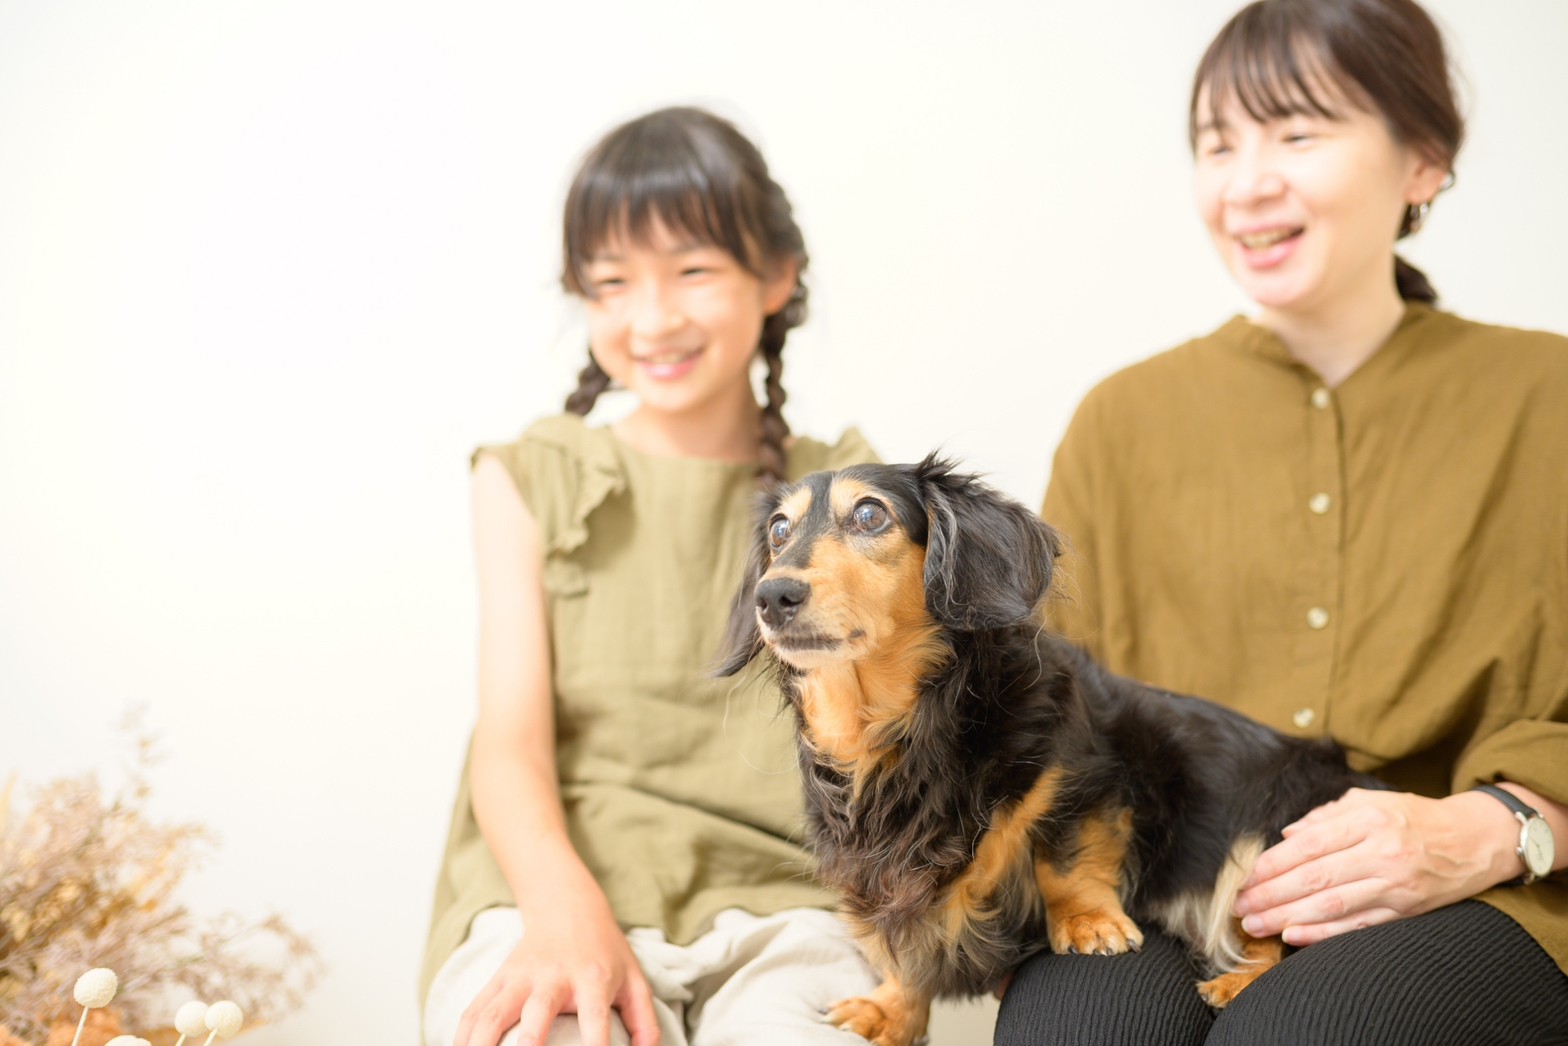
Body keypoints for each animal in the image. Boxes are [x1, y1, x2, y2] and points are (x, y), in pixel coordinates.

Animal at [715, 456, 1377, 1046]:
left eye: (870, 515)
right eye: (779, 530)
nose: (773, 597)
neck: (900, 731)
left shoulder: (1085, 782)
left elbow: (1064, 858)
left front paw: (1088, 922)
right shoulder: (878, 872)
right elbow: (901, 948)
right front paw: (891, 1009)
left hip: (1275, 836)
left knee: (1283, 932)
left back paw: (1238, 983)